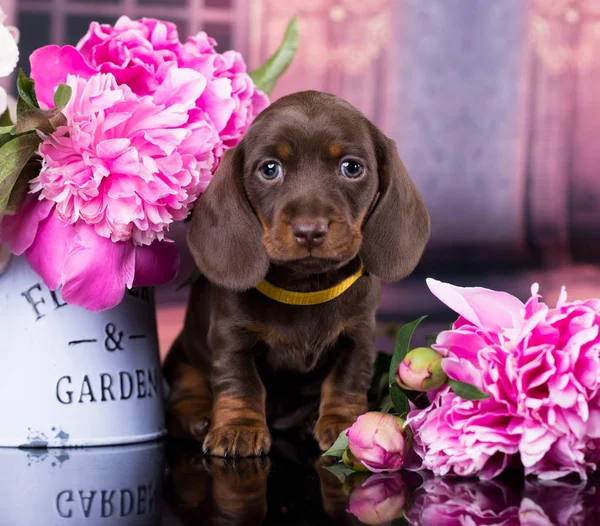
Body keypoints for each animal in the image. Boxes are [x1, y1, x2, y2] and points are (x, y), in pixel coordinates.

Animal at [162, 89, 428, 458]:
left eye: (352, 167)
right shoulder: (231, 336)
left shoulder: (358, 335)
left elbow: (346, 381)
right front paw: (238, 427)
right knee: (184, 396)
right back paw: (197, 417)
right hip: (183, 359)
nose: (309, 230)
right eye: (270, 169)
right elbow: (240, 382)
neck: (304, 287)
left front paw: (344, 424)